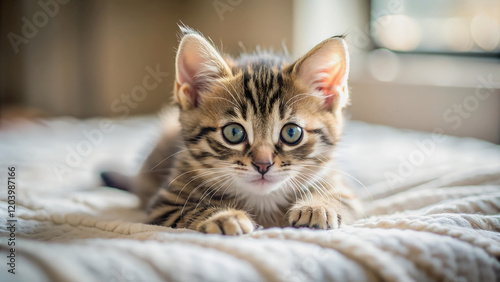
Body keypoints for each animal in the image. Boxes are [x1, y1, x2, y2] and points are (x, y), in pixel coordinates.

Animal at [107, 27, 362, 236]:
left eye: (291, 133)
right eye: (233, 133)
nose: (263, 165)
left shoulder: (343, 187)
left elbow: (342, 198)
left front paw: (318, 206)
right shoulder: (164, 204)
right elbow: (193, 209)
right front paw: (224, 216)